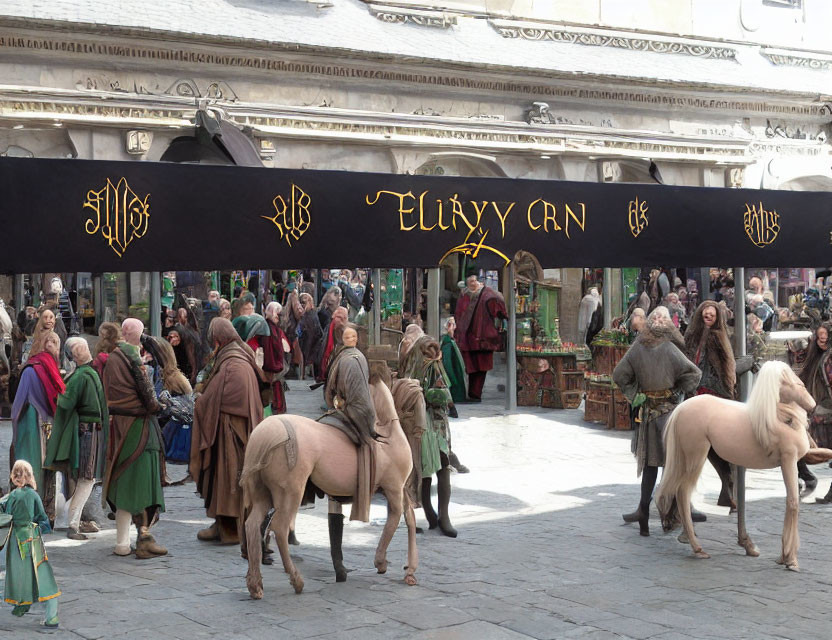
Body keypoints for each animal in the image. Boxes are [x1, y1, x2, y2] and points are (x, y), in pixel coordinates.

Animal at [656, 360, 832, 568]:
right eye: (787, 381)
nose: (811, 403)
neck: (780, 418)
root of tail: (680, 409)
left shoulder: (799, 459)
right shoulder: (789, 460)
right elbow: (792, 502)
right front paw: (789, 559)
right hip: (696, 455)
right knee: (683, 491)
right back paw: (697, 547)